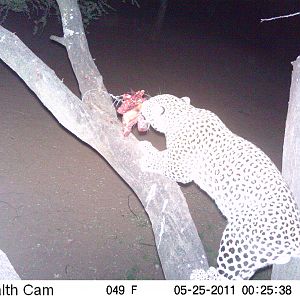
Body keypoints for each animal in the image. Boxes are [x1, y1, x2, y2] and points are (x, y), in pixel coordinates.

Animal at [138, 93, 300, 278]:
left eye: (149, 104)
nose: (141, 104)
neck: (183, 115)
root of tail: (295, 236)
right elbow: (164, 155)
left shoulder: (181, 168)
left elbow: (162, 160)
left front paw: (148, 154)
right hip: (253, 256)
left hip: (238, 238)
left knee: (227, 275)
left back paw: (202, 276)